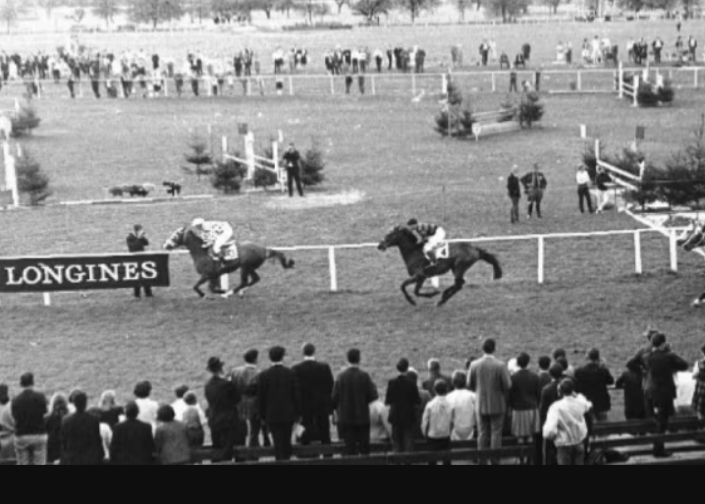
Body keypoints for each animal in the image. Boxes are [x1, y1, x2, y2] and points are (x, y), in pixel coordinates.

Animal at [163, 228, 294, 300]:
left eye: (175, 235)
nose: (166, 245)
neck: (202, 253)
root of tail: (263, 249)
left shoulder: (208, 275)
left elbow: (201, 287)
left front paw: (219, 293)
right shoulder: (214, 276)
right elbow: (207, 287)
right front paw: (213, 293)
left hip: (245, 267)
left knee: (244, 281)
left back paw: (232, 292)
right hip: (250, 267)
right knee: (255, 279)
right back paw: (240, 292)